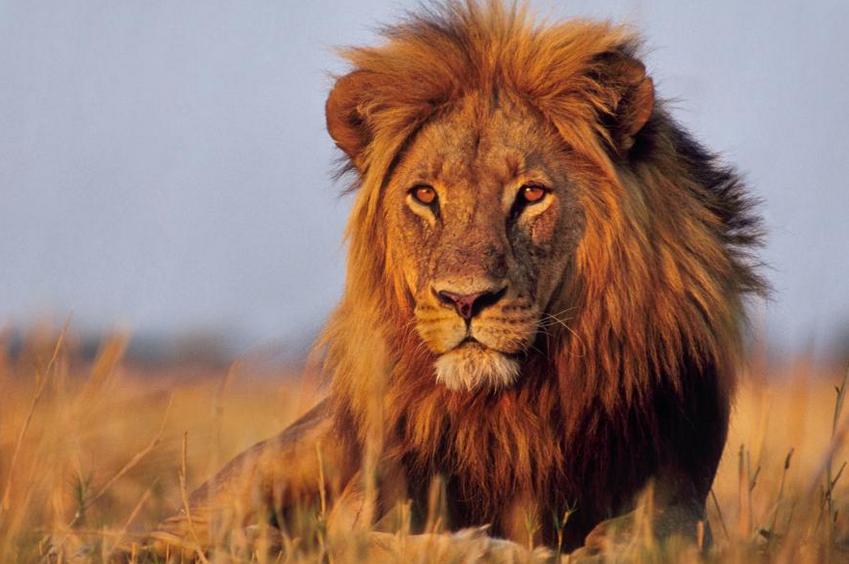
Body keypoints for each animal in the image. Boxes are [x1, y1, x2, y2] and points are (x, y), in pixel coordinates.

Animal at [146, 1, 764, 559]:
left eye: (531, 193)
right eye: (425, 195)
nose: (465, 300)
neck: (512, 410)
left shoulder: (679, 491)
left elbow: (649, 536)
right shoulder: (371, 495)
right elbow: (369, 540)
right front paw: (488, 548)